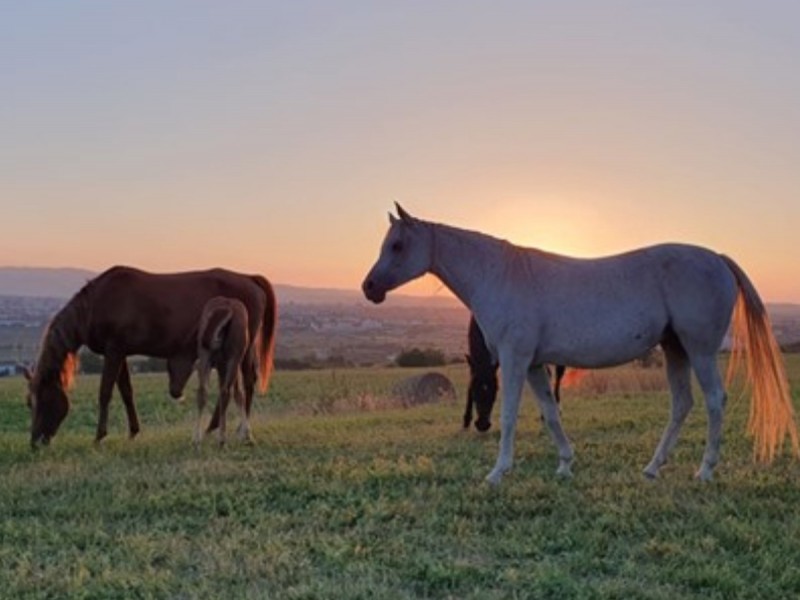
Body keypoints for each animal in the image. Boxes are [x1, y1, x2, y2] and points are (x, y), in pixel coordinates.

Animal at [194, 296, 250, 447]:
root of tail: (227, 307)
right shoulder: (232, 365)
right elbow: (239, 394)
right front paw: (246, 434)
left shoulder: (220, 366)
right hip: (233, 359)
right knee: (226, 392)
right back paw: (222, 440)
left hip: (205, 355)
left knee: (203, 392)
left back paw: (196, 439)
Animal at [363, 203, 798, 485]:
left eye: (397, 245)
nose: (369, 288)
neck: (500, 274)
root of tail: (719, 258)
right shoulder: (534, 364)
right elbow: (551, 413)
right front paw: (565, 465)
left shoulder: (516, 360)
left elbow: (510, 416)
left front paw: (498, 472)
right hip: (675, 349)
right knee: (682, 405)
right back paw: (652, 468)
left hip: (700, 351)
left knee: (713, 401)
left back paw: (705, 470)